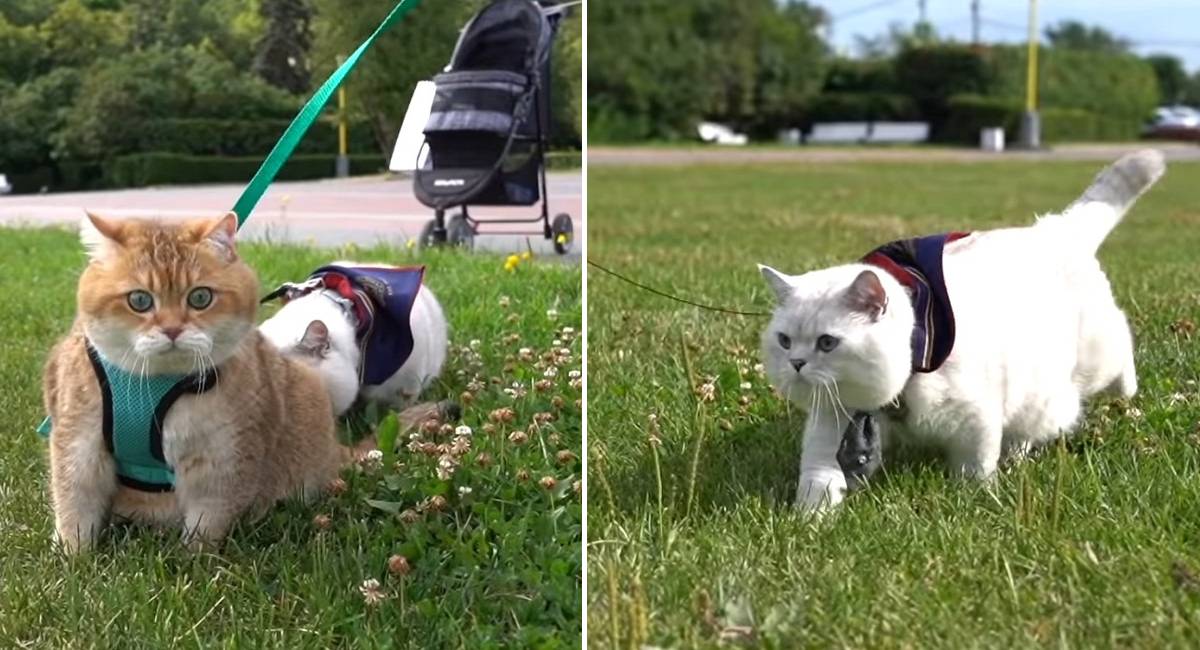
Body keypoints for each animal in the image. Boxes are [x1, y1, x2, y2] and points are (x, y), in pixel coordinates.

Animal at [42, 213, 362, 556]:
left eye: (200, 297)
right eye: (139, 300)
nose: (172, 329)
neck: (156, 385)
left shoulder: (224, 456)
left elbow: (208, 517)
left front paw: (194, 556)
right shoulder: (79, 443)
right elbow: (75, 502)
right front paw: (72, 555)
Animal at [758, 150, 1161, 513]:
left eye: (828, 342)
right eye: (784, 341)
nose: (796, 364)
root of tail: (1052, 230)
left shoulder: (976, 419)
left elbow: (975, 469)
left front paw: (976, 501)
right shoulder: (831, 421)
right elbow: (820, 477)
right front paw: (810, 520)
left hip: (1093, 359)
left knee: (1121, 345)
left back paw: (1127, 391)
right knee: (1024, 434)